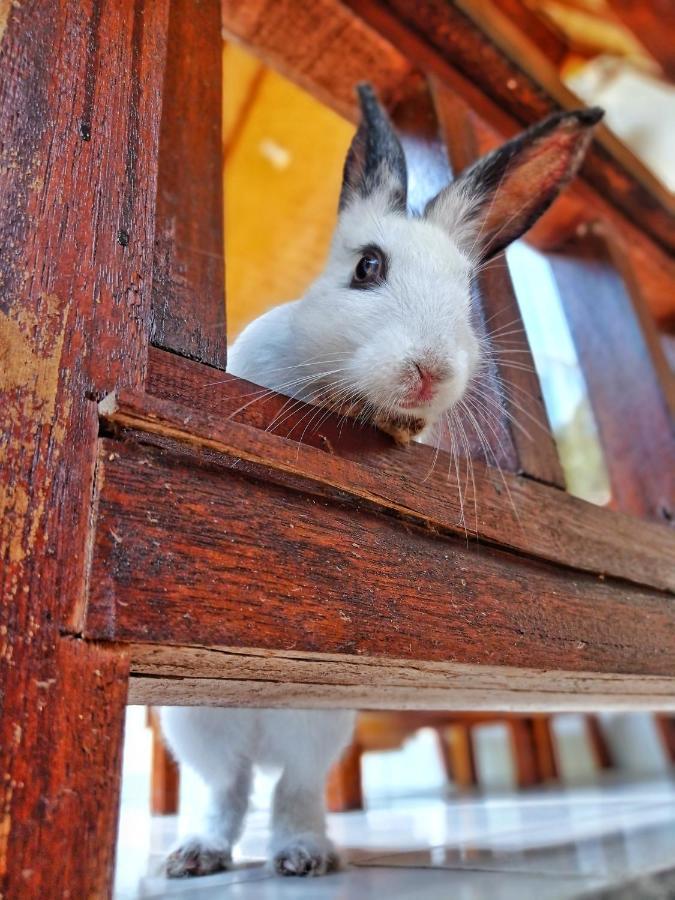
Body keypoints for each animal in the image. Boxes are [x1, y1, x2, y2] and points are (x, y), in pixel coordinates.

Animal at [162, 86, 604, 880]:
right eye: (367, 267)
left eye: (465, 294)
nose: (431, 370)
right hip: (199, 726)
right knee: (227, 791)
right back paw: (196, 855)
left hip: (316, 729)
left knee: (292, 793)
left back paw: (303, 857)